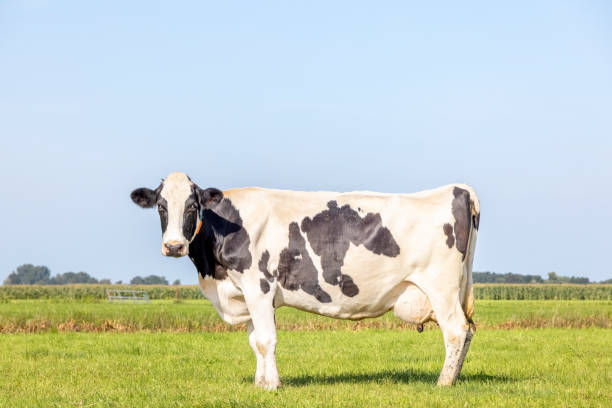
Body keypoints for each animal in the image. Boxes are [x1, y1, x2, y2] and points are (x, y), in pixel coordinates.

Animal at [131, 171, 480, 388]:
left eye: (193, 206)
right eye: (161, 207)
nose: (173, 246)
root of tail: (457, 189)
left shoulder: (259, 288)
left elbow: (266, 339)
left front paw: (272, 386)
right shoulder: (246, 294)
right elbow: (254, 341)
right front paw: (259, 383)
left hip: (441, 287)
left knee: (456, 331)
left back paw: (443, 383)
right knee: (468, 332)